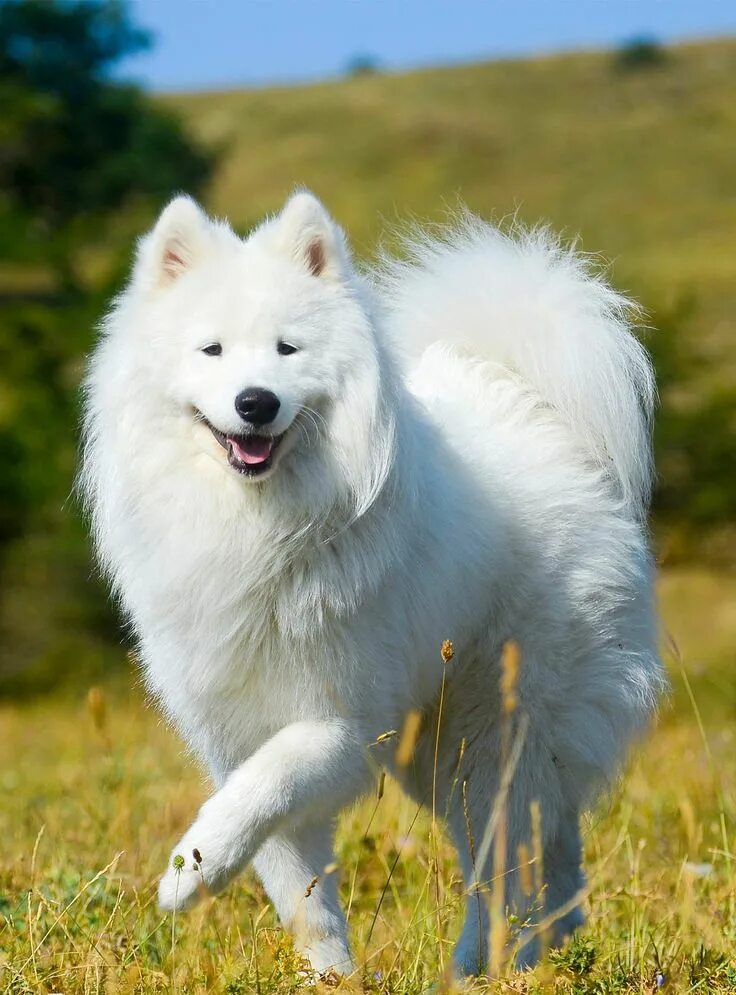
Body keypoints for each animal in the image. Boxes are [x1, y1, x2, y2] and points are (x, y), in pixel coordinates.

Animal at [80, 191, 668, 976]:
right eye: (212, 350)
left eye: (287, 349)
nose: (256, 402)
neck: (261, 527)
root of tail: (535, 411)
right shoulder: (235, 727)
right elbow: (297, 886)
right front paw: (326, 975)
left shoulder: (342, 721)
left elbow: (263, 788)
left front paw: (190, 871)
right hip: (448, 750)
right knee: (550, 849)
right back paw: (546, 943)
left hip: (491, 734)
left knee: (503, 862)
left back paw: (476, 968)